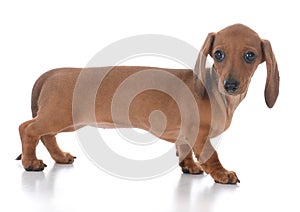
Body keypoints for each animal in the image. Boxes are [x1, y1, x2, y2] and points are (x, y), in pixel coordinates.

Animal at [17, 24, 278, 184]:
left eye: (250, 55)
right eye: (219, 54)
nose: (230, 85)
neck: (218, 94)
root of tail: (52, 73)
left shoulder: (185, 134)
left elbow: (184, 150)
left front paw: (189, 166)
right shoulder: (200, 133)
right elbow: (211, 155)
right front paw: (223, 174)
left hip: (65, 120)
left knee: (45, 135)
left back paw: (59, 156)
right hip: (60, 116)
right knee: (27, 128)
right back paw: (30, 163)